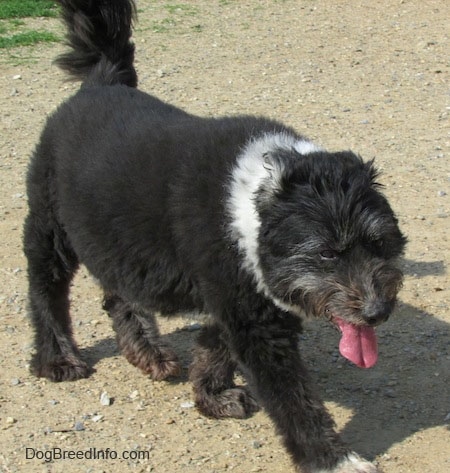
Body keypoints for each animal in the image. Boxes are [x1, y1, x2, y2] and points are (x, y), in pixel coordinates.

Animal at [23, 0, 408, 472]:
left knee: (119, 296)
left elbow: (214, 347)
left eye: (378, 243)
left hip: (119, 242)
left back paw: (147, 351)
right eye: (327, 255)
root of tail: (102, 80)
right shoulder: (255, 323)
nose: (376, 312)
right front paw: (333, 459)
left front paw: (212, 396)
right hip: (49, 228)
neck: (257, 200)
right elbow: (294, 400)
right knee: (46, 290)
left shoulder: (244, 296)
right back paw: (57, 357)